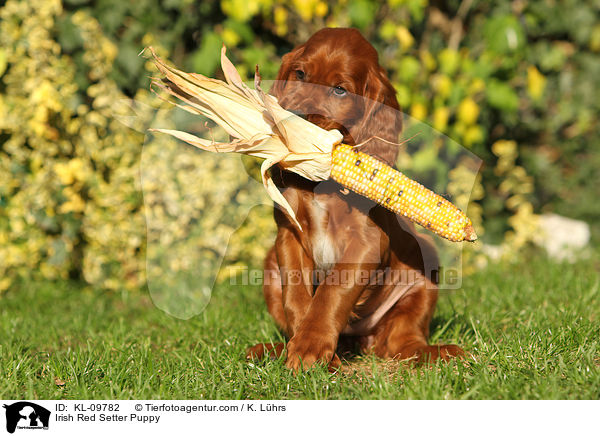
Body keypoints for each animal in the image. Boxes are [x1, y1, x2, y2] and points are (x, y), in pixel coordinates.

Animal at [247, 27, 464, 370]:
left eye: (339, 90)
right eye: (300, 74)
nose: (293, 115)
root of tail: (362, 343)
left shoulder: (366, 242)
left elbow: (333, 290)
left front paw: (309, 346)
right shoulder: (288, 235)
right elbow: (296, 296)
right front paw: (304, 348)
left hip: (426, 264)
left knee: (403, 342)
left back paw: (437, 352)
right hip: (269, 265)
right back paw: (274, 350)